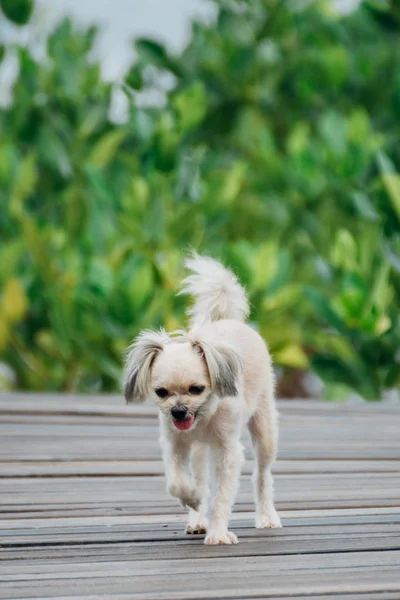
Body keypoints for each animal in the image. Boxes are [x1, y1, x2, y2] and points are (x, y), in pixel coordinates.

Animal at [125, 253, 282, 544]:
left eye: (197, 389)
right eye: (161, 392)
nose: (178, 411)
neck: (205, 417)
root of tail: (229, 320)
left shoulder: (228, 452)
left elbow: (221, 497)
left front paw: (218, 533)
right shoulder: (175, 445)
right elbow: (177, 483)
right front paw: (194, 501)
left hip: (265, 430)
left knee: (262, 474)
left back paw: (267, 516)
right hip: (198, 451)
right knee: (199, 477)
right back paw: (198, 518)